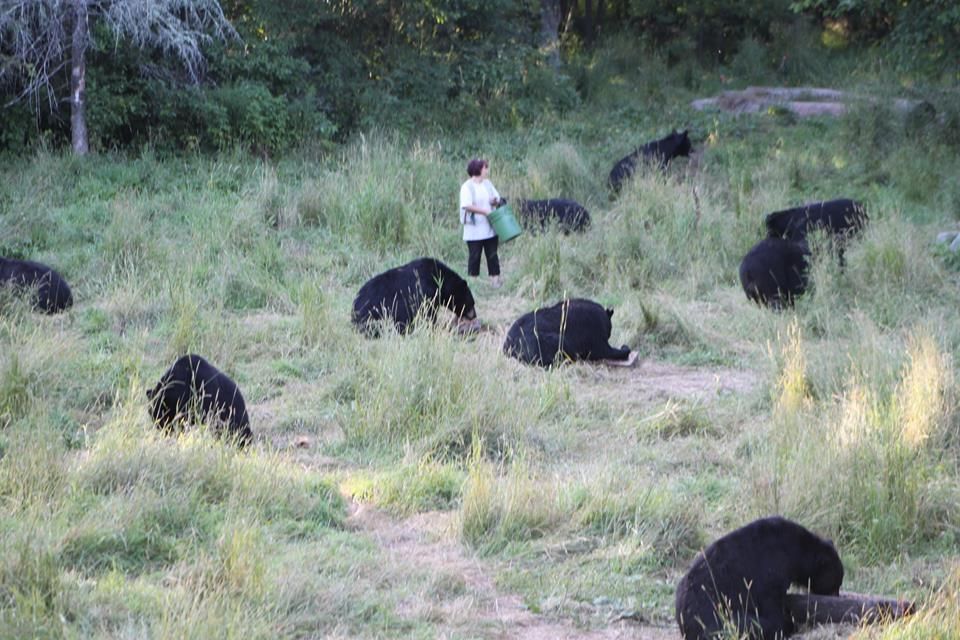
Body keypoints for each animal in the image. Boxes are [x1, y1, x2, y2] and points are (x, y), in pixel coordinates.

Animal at [502, 298, 631, 368]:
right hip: (551, 341)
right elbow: (606, 351)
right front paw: (624, 348)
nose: (609, 335)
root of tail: (508, 345)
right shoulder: (596, 340)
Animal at [675, 516, 844, 640]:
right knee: (744, 624)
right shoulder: (770, 569)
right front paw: (787, 624)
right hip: (712, 614)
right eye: (836, 584)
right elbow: (771, 605)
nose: (837, 596)